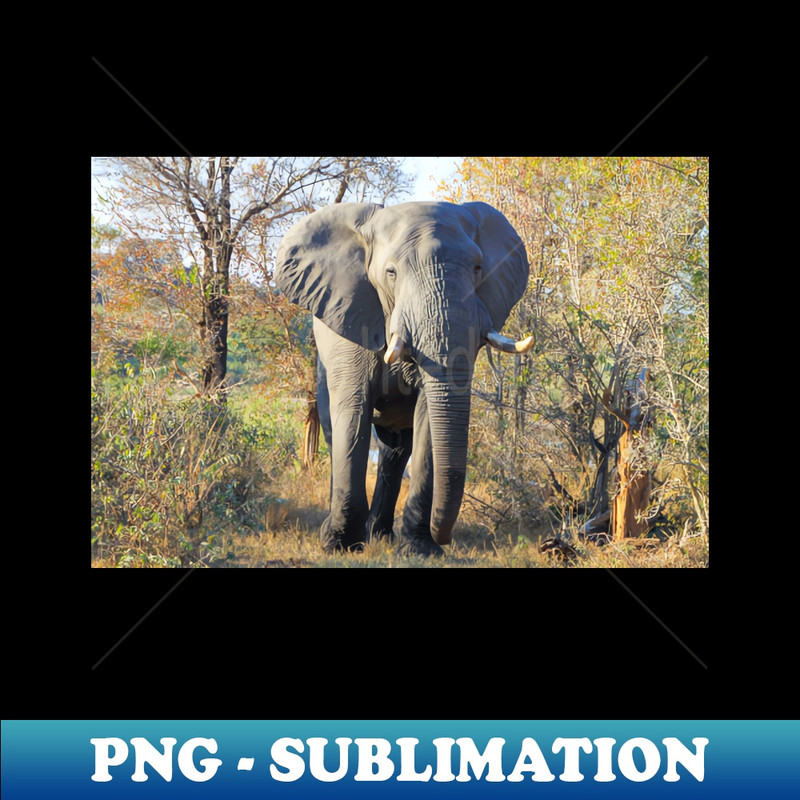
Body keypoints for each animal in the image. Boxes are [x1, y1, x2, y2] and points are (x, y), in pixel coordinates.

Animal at [274, 200, 532, 557]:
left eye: (478, 268)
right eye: (391, 273)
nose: (443, 537)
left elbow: (427, 420)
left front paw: (420, 550)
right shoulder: (350, 317)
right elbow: (353, 410)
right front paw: (339, 545)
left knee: (396, 450)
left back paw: (380, 534)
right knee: (335, 429)